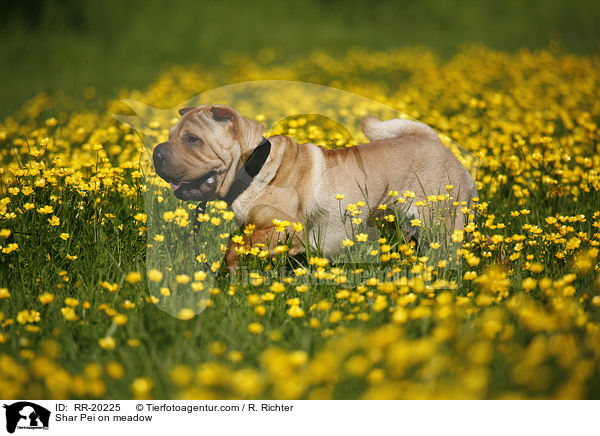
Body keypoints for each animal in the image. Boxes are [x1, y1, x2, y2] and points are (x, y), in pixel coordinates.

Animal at [154, 104, 478, 270]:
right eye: (170, 136)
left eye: (193, 139)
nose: (157, 152)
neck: (255, 166)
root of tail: (437, 143)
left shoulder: (283, 227)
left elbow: (236, 246)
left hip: (442, 222)